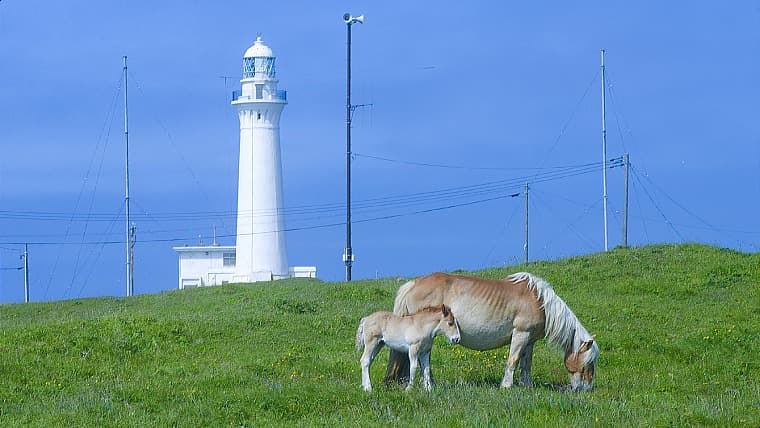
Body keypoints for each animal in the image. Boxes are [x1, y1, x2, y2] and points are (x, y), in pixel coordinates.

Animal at [384, 272, 598, 391]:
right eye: (588, 363)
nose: (586, 389)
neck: (540, 302)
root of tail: (412, 284)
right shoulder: (520, 334)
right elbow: (513, 361)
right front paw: (506, 386)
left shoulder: (529, 341)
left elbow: (526, 364)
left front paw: (527, 386)